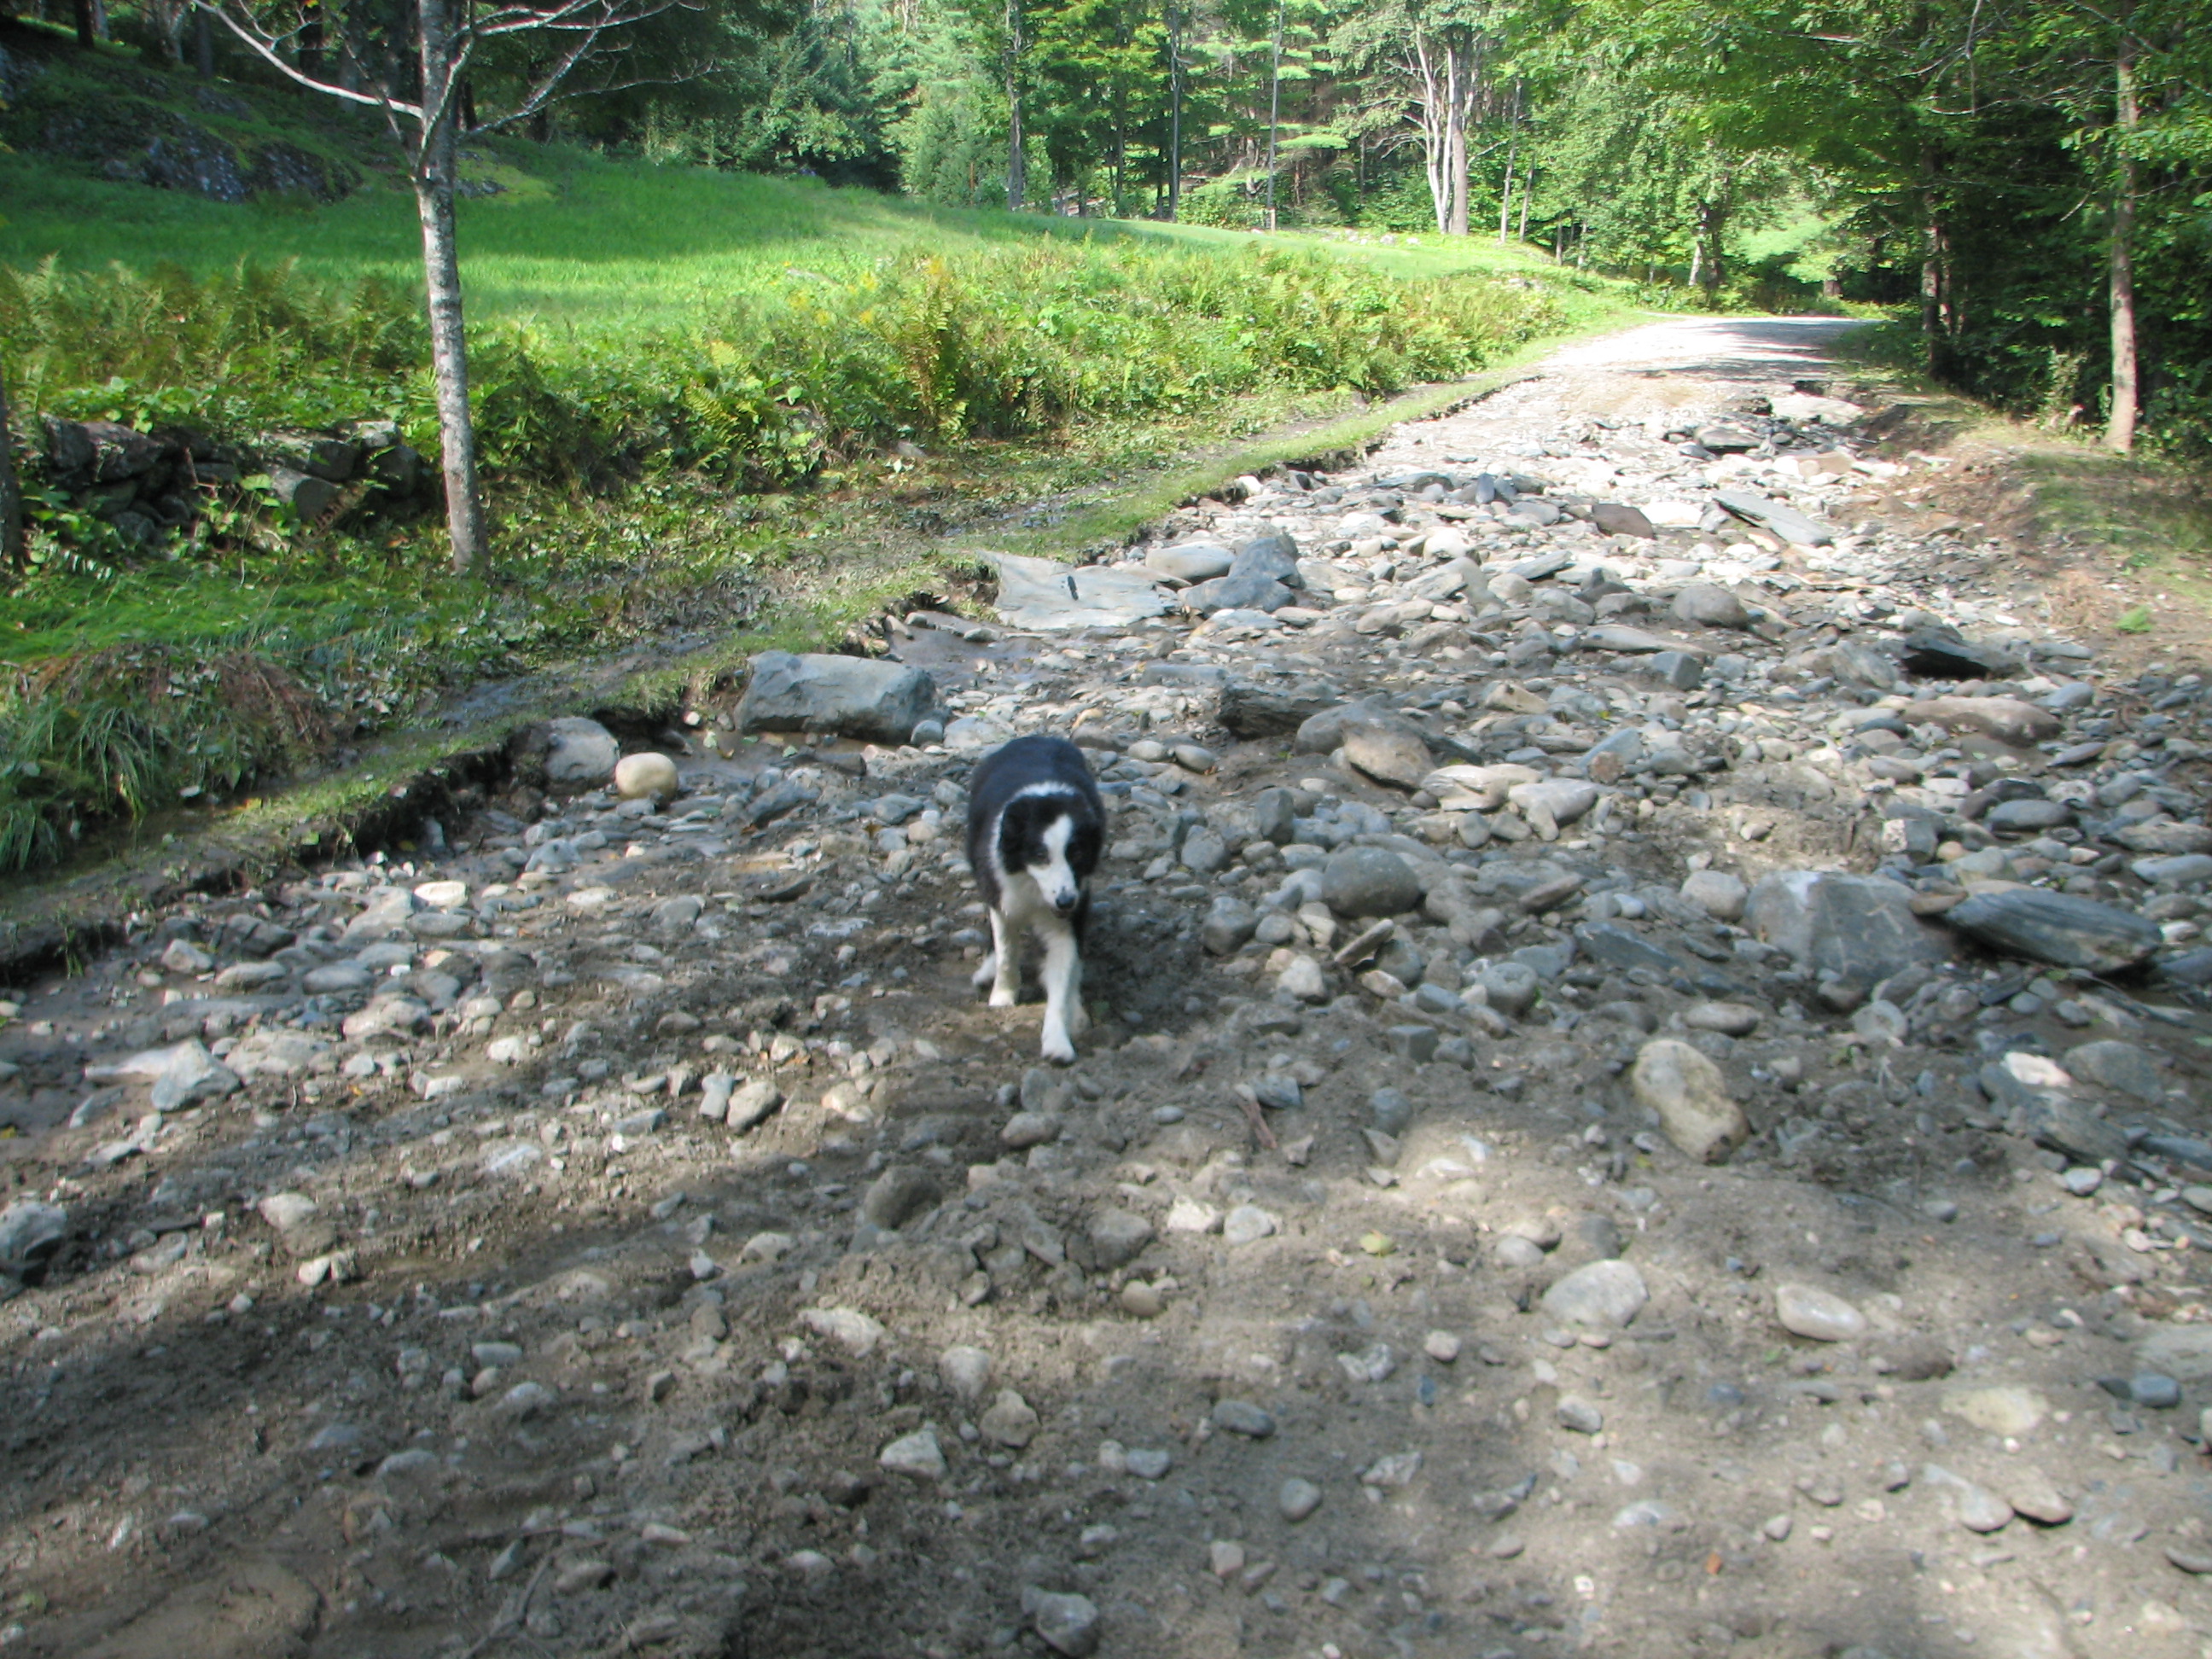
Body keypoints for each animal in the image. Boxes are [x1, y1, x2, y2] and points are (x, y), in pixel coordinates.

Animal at [969, 738, 1106, 1066]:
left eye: (1077, 853)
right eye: (1041, 855)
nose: (1066, 901)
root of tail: (1038, 737)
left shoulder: (1071, 911)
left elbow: (1064, 973)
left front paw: (1058, 1041)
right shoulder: (1002, 896)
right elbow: (1007, 951)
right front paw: (1003, 994)